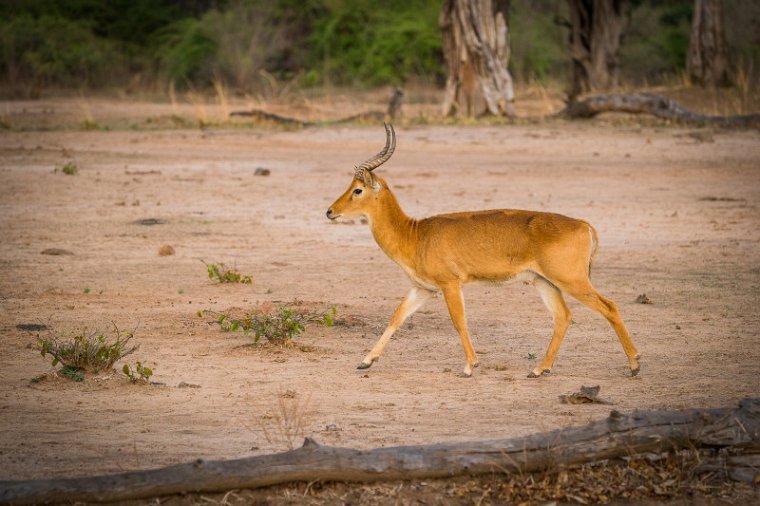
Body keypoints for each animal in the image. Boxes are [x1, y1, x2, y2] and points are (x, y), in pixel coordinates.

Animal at [324, 124, 640, 378]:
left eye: (357, 189)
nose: (329, 211)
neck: (414, 235)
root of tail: (585, 225)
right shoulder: (423, 289)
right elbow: (395, 318)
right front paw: (366, 361)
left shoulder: (450, 284)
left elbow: (459, 322)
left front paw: (469, 367)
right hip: (544, 282)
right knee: (563, 316)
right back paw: (539, 369)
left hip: (571, 280)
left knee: (609, 306)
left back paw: (635, 365)